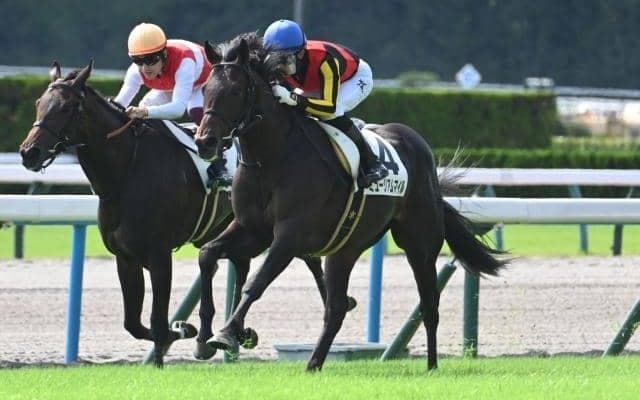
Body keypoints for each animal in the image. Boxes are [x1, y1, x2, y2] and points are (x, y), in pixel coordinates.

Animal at [18, 60, 337, 367]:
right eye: (38, 103)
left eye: (66, 107)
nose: (28, 152)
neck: (127, 172)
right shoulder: (125, 257)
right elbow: (133, 323)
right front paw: (187, 331)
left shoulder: (159, 254)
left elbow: (158, 322)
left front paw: (177, 341)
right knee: (247, 264)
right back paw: (239, 332)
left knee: (308, 262)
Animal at [192, 32, 508, 371]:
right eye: (206, 89)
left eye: (236, 91)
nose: (205, 142)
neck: (272, 157)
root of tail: (418, 146)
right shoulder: (251, 229)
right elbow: (208, 255)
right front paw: (208, 337)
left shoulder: (289, 236)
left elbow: (257, 282)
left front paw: (227, 333)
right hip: (345, 248)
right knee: (337, 308)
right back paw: (313, 364)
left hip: (418, 243)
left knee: (428, 304)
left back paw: (432, 366)